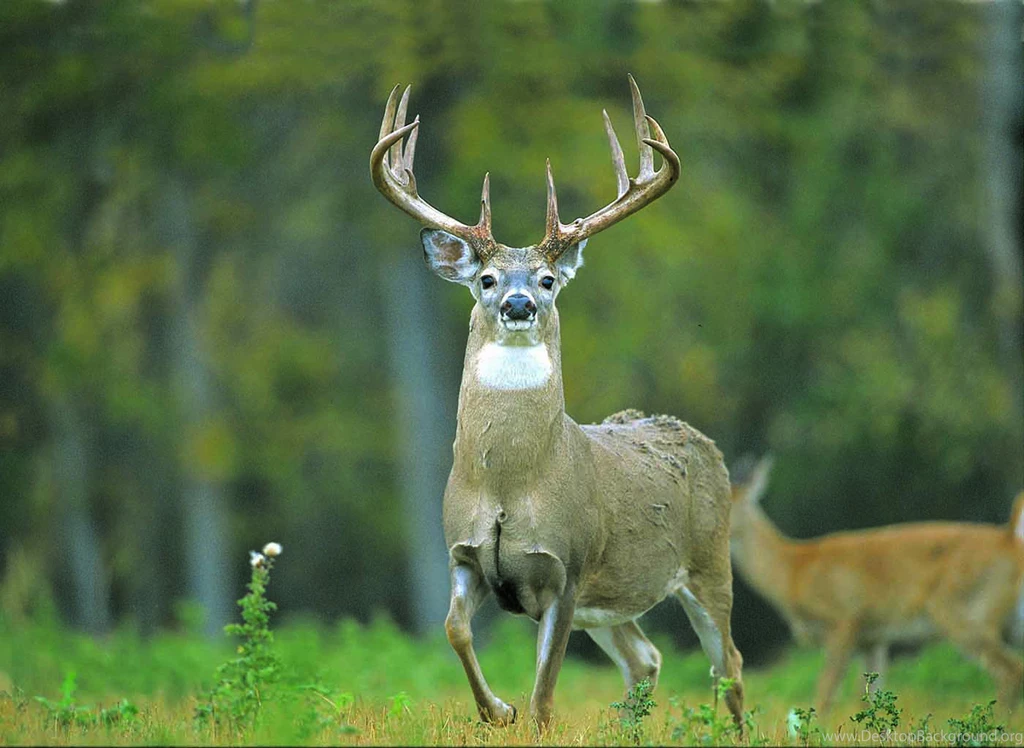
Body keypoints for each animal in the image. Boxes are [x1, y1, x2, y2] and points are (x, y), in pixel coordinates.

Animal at [370, 76, 745, 729]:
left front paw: (521, 713)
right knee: (646, 658)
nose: (519, 304)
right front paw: (496, 710)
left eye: (547, 280)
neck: (508, 484)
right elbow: (453, 629)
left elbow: (546, 694)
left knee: (730, 665)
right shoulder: (462, 554)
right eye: (487, 279)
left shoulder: (567, 568)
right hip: (613, 601)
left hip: (708, 561)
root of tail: (700, 440)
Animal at [730, 455, 1024, 714]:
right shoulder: (873, 637)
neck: (792, 571)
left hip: (965, 611)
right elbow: (869, 695)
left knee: (1010, 672)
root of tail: (1010, 540)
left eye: (732, 502)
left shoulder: (844, 620)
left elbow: (826, 692)